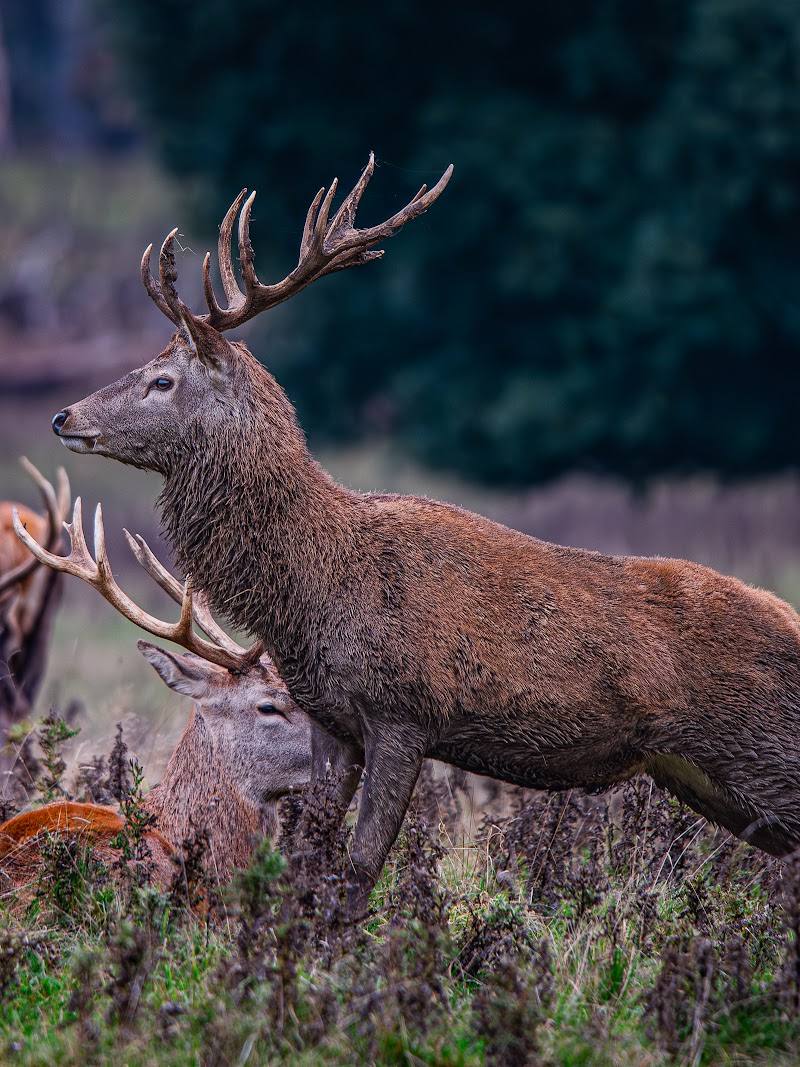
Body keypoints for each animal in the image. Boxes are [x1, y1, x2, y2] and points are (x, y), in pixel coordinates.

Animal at [37, 151, 800, 914]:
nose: (64, 415)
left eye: (162, 380)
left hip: (766, 751)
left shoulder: (404, 713)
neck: (315, 589)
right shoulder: (335, 721)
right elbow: (312, 868)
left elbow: (356, 875)